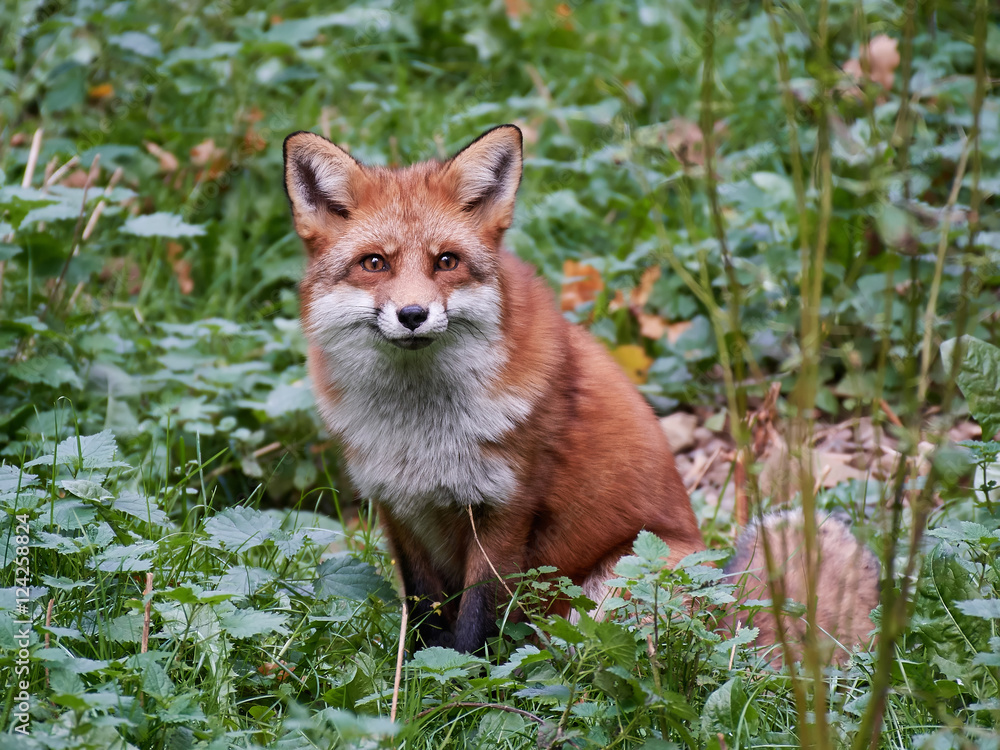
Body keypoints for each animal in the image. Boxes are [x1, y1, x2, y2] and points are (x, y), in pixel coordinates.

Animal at [282, 124, 879, 659]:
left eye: (446, 261)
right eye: (374, 263)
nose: (412, 315)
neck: (420, 431)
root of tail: (727, 616)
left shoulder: (505, 509)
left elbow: (476, 621)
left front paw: (462, 689)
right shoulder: (398, 510)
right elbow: (425, 616)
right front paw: (415, 680)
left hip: (616, 585)